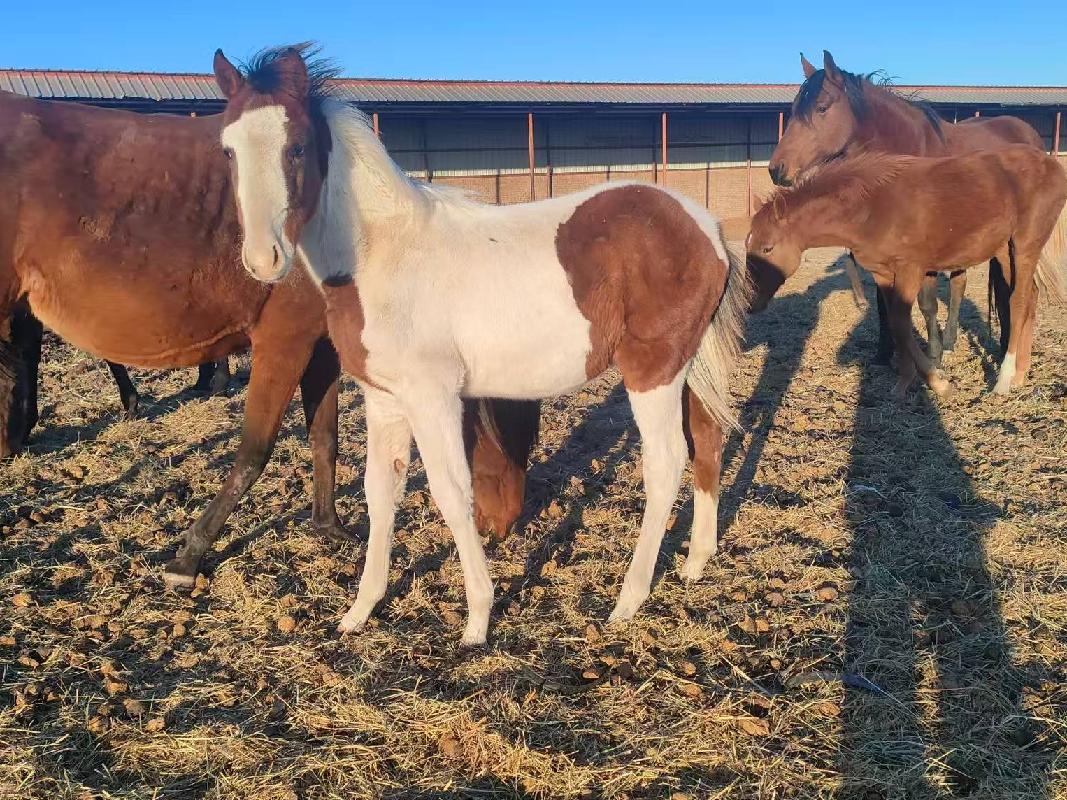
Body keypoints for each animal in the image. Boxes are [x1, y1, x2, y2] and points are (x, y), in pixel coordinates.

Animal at [0, 86, 539, 588]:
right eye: (507, 427)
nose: (504, 524)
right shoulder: (283, 343)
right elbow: (253, 451)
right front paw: (188, 556)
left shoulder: (321, 348)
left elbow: (325, 437)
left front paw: (329, 526)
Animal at [212, 45, 748, 645]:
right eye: (228, 149)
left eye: (297, 146)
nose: (263, 260)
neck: (379, 255)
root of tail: (705, 225)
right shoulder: (385, 399)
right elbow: (380, 491)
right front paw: (360, 611)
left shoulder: (434, 397)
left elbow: (451, 491)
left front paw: (477, 618)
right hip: (688, 365)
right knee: (708, 440)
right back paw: (696, 562)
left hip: (651, 370)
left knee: (666, 462)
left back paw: (628, 600)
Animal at [748, 148, 1067, 397]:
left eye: (768, 248)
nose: (751, 303)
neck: (871, 209)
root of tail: (1051, 164)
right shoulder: (883, 274)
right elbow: (896, 323)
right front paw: (904, 381)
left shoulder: (911, 270)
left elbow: (902, 323)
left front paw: (937, 383)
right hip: (1003, 250)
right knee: (1031, 297)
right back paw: (1021, 375)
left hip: (1025, 244)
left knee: (1019, 300)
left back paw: (1003, 380)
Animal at [769, 51, 1046, 364]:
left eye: (822, 108)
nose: (777, 169)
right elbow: (884, 302)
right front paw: (885, 352)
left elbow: (926, 303)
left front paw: (932, 356)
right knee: (961, 285)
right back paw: (954, 342)